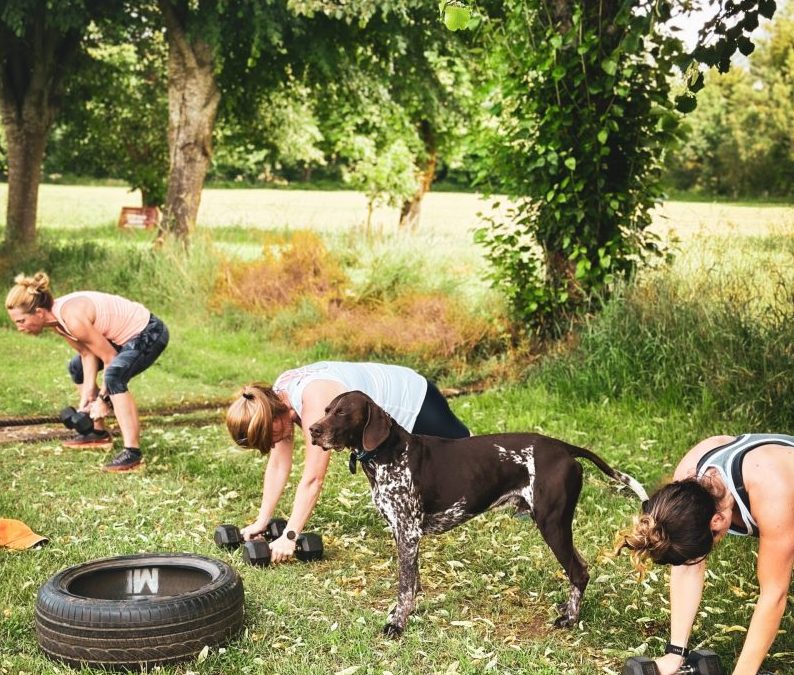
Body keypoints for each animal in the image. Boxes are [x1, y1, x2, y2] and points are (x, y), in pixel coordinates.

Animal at [306, 390, 648, 640]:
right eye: (326, 408)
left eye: (342, 412)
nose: (312, 430)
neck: (388, 454)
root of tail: (563, 447)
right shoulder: (404, 535)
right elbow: (412, 583)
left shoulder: (408, 532)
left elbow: (404, 587)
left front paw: (397, 623)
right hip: (558, 526)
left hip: (552, 525)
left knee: (579, 572)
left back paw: (570, 619)